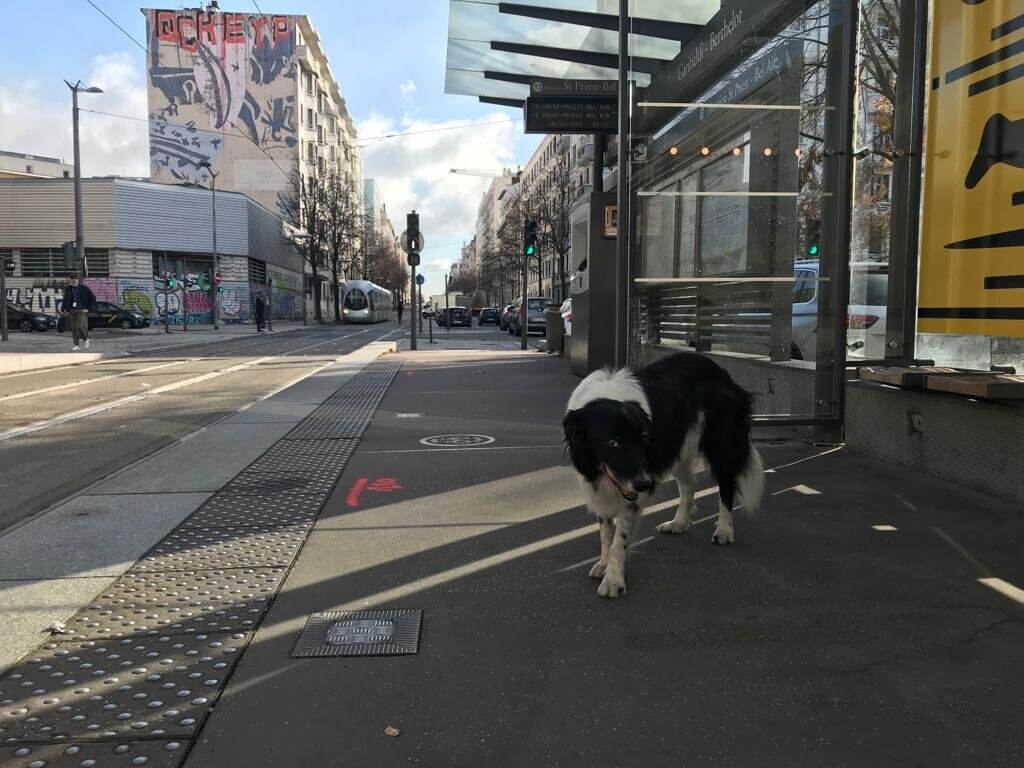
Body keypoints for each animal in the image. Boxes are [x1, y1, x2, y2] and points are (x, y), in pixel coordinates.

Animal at [565, 354, 765, 602]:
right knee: (689, 486)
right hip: (678, 449)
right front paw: (604, 564)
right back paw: (679, 523)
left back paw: (724, 530)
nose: (645, 485)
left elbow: (620, 539)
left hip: (720, 445)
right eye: (613, 443)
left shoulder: (633, 489)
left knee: (726, 487)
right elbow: (606, 532)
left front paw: (613, 580)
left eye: (643, 440)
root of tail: (720, 371)